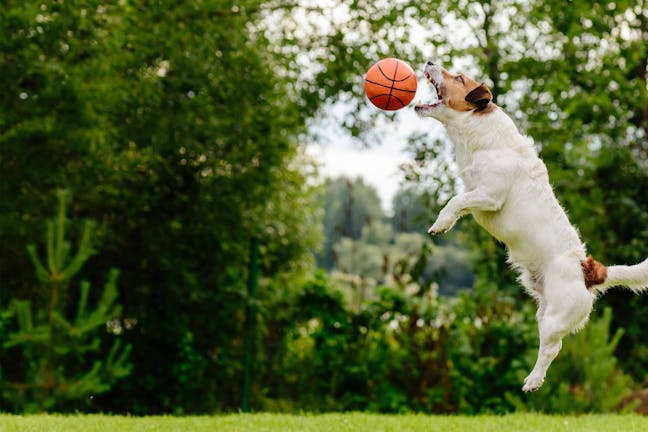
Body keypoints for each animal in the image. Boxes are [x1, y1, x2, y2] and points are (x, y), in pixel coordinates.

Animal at [416, 60, 648, 392]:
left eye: (458, 77)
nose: (430, 62)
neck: (478, 136)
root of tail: (589, 270)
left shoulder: (489, 195)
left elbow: (455, 201)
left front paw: (441, 223)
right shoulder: (475, 192)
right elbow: (460, 200)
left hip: (555, 317)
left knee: (552, 347)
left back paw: (533, 380)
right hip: (543, 309)